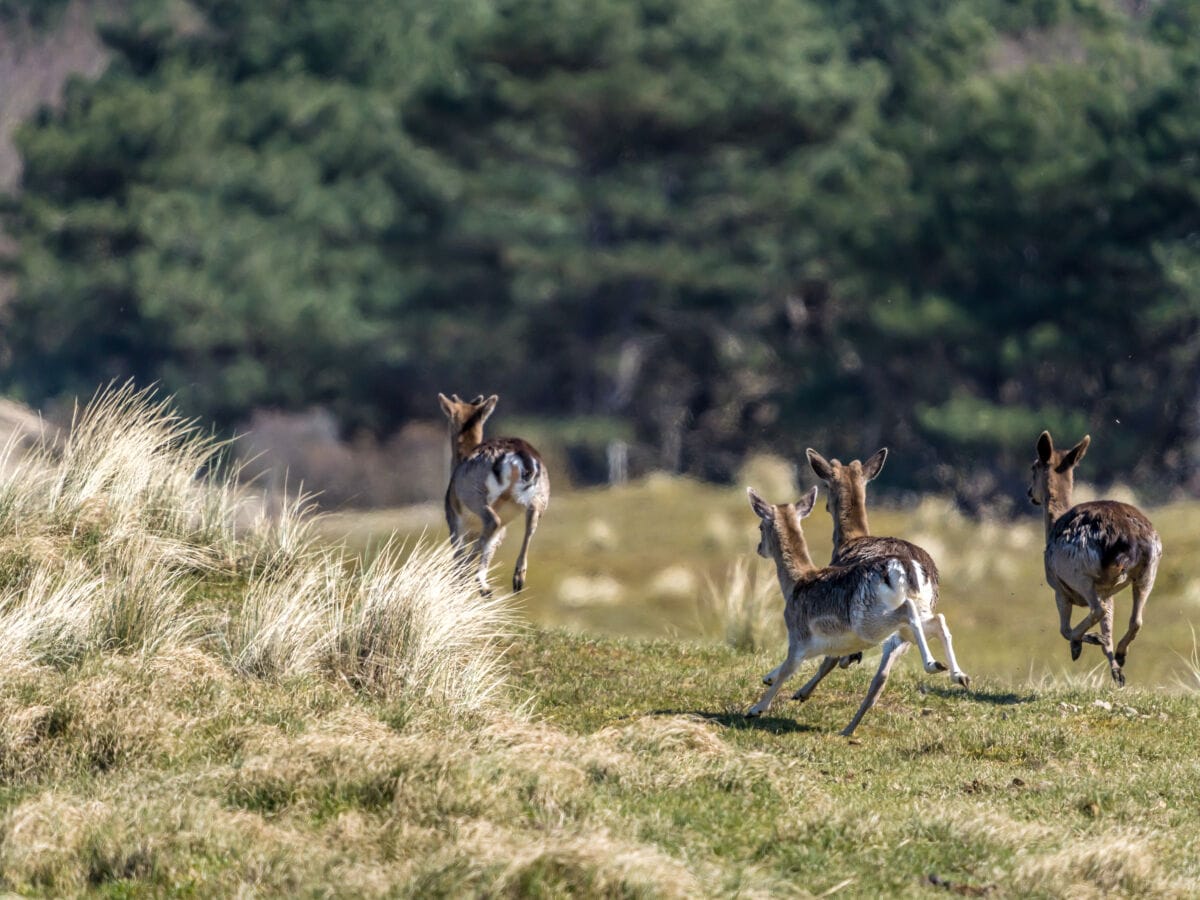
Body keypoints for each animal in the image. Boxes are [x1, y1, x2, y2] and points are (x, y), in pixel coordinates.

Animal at [439, 396, 549, 600]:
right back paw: (517, 579)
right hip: (540, 496)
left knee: (492, 521)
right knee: (531, 523)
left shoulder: (454, 520)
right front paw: (483, 586)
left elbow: (459, 550)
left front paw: (463, 579)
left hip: (475, 494)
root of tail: (520, 456)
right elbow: (491, 546)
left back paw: (466, 572)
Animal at [739, 487, 955, 734]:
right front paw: (771, 684)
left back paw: (934, 666)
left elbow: (788, 668)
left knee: (907, 612)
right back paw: (955, 673)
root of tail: (905, 566)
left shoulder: (798, 635)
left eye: (760, 526)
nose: (758, 548)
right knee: (937, 621)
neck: (796, 583)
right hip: (913, 616)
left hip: (870, 624)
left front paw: (756, 709)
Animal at [792, 448, 969, 729]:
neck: (851, 539)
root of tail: (912, 569)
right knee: (894, 664)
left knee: (881, 668)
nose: (827, 505)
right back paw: (957, 675)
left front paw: (801, 692)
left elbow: (831, 656)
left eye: (827, 485)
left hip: (879, 615)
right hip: (914, 613)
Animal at [1027, 434, 1156, 686]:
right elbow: (1109, 626)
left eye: (1033, 467)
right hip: (1149, 570)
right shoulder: (1108, 593)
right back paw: (1120, 655)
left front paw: (1083, 643)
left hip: (1081, 573)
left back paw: (1082, 643)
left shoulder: (1059, 588)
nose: (1029, 493)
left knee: (1096, 611)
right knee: (1136, 619)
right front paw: (1116, 671)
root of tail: (1130, 538)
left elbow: (1064, 628)